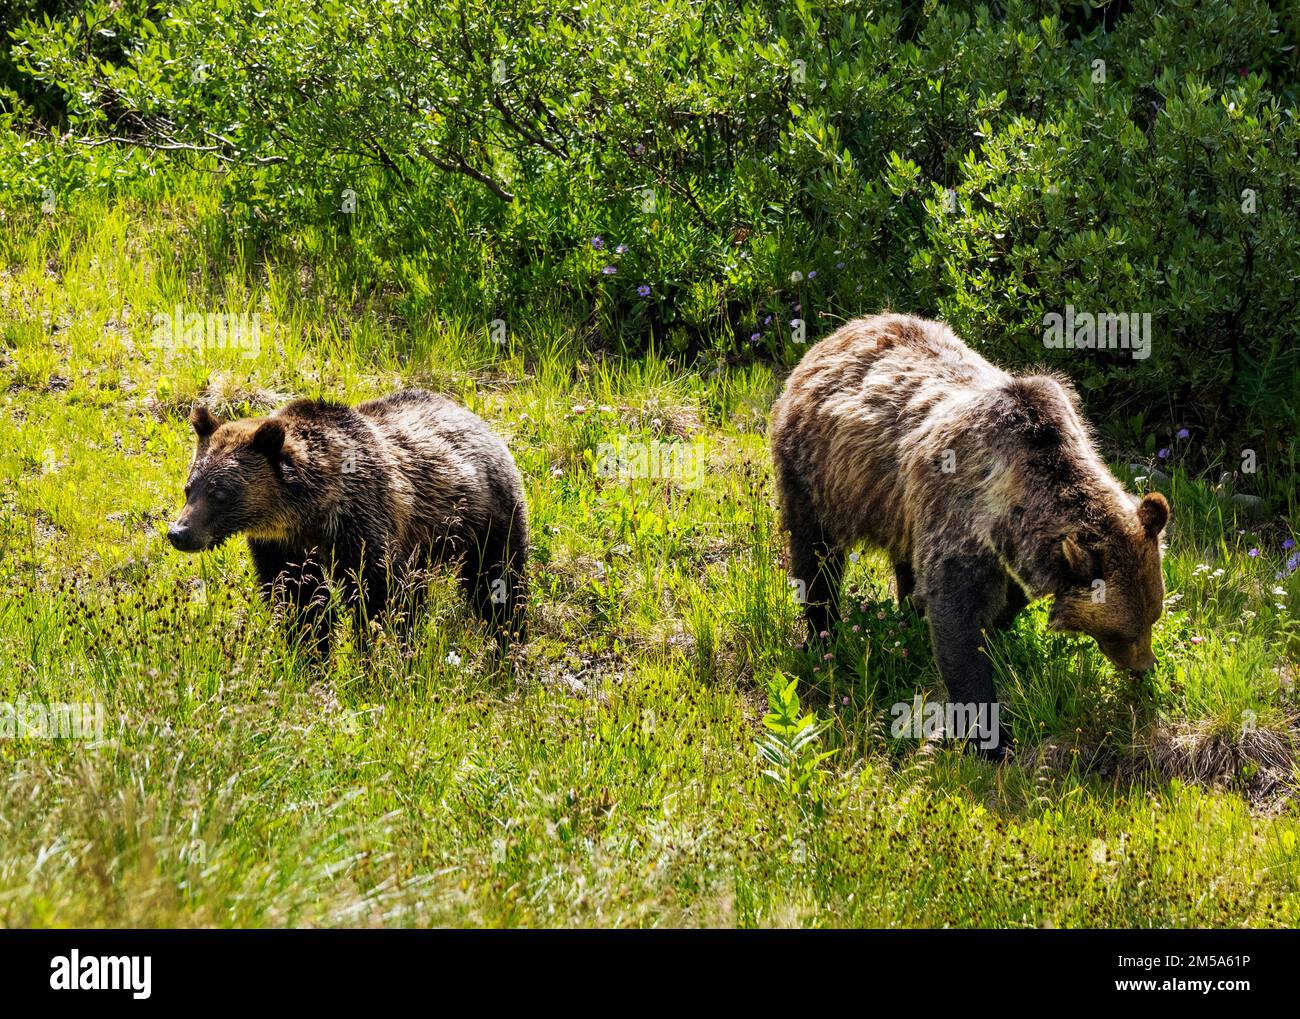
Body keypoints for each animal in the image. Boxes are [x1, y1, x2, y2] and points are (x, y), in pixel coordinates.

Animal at [167, 389, 527, 652]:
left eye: (219, 492)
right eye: (189, 487)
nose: (179, 532)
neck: (308, 512)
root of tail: (472, 416)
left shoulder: (362, 526)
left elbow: (381, 598)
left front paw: (382, 652)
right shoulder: (281, 548)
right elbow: (300, 604)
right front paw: (309, 656)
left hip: (485, 519)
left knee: (498, 583)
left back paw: (508, 641)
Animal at [764, 314, 1175, 753]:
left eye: (1153, 615)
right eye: (1121, 631)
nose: (1144, 668)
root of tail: (839, 333)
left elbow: (1003, 602)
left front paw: (994, 630)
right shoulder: (958, 515)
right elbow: (957, 620)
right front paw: (991, 737)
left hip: (897, 507)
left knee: (903, 558)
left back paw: (907, 608)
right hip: (819, 471)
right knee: (816, 554)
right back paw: (822, 634)